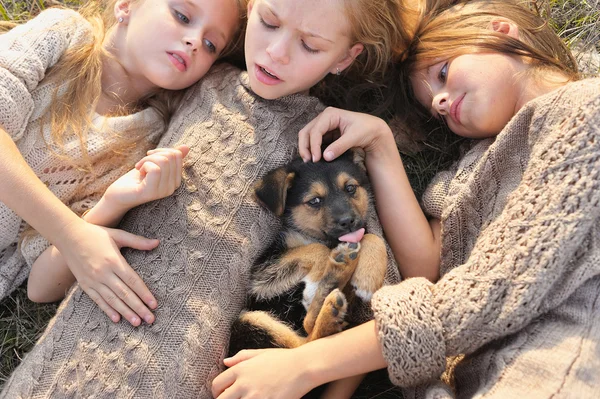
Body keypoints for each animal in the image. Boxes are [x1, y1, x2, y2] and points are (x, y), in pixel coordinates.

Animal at [227, 151, 386, 356]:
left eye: (350, 188)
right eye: (314, 201)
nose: (347, 221)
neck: (327, 240)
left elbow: (372, 237)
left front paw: (368, 277)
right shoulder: (260, 277)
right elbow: (318, 249)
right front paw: (315, 285)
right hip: (250, 320)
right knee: (305, 342)